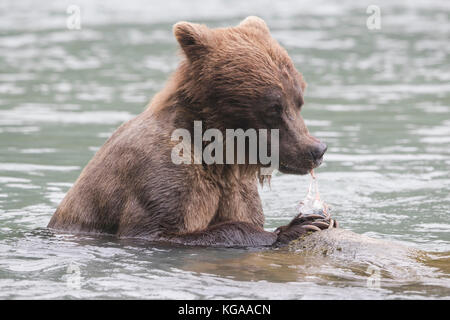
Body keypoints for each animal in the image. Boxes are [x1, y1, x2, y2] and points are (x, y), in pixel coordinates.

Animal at [49, 16, 338, 248]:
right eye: (274, 107)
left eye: (298, 100)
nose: (316, 149)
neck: (219, 150)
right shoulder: (162, 173)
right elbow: (158, 231)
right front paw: (299, 225)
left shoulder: (234, 187)